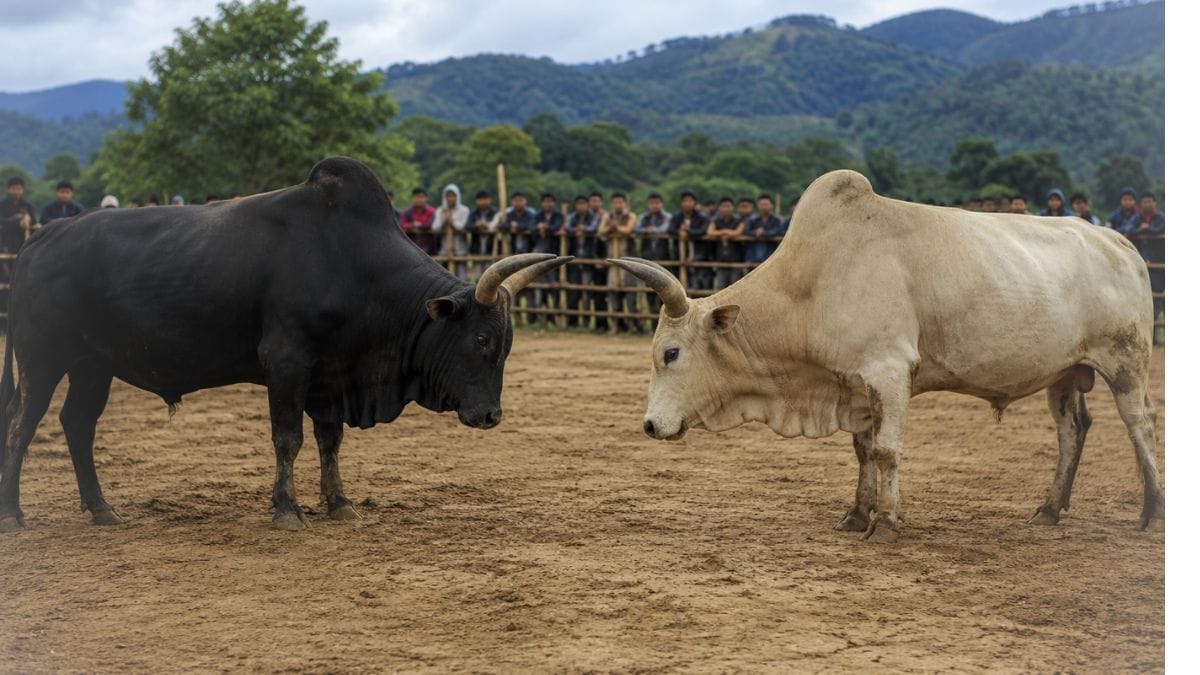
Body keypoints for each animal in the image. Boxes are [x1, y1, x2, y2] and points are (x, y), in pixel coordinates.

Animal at [0, 157, 569, 532]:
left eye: (507, 345)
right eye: (481, 339)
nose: (490, 416)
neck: (352, 263)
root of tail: (39, 238)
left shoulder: (330, 376)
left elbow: (329, 440)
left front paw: (338, 502)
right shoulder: (288, 364)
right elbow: (288, 439)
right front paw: (287, 509)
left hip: (92, 365)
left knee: (77, 425)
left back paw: (103, 510)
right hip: (42, 359)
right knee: (21, 427)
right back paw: (13, 514)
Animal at [609, 169, 1164, 543]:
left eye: (671, 353)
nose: (651, 426)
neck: (812, 282)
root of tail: (1121, 243)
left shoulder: (891, 373)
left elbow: (886, 450)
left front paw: (888, 522)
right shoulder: (854, 384)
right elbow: (862, 450)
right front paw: (857, 514)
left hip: (1125, 363)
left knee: (1140, 423)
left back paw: (1151, 511)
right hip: (1065, 373)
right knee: (1072, 431)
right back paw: (1050, 509)